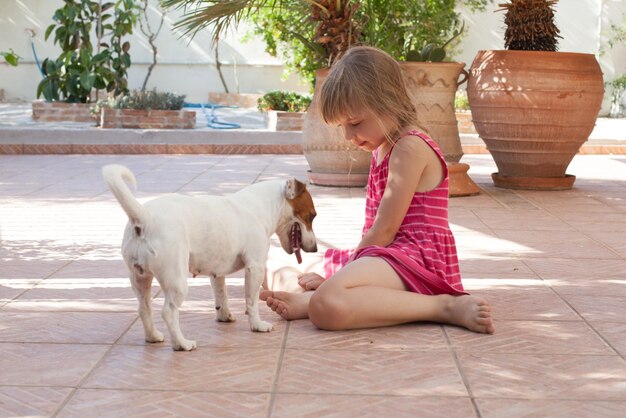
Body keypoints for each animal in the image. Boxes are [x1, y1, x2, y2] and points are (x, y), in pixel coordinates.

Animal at [104, 165, 316, 352]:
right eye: (312, 216)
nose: (315, 248)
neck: (261, 206)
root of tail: (145, 217)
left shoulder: (217, 272)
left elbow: (221, 295)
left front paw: (224, 315)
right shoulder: (255, 267)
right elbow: (252, 301)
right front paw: (257, 325)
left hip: (140, 278)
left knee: (143, 308)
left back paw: (153, 336)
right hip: (176, 280)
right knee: (169, 312)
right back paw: (182, 344)